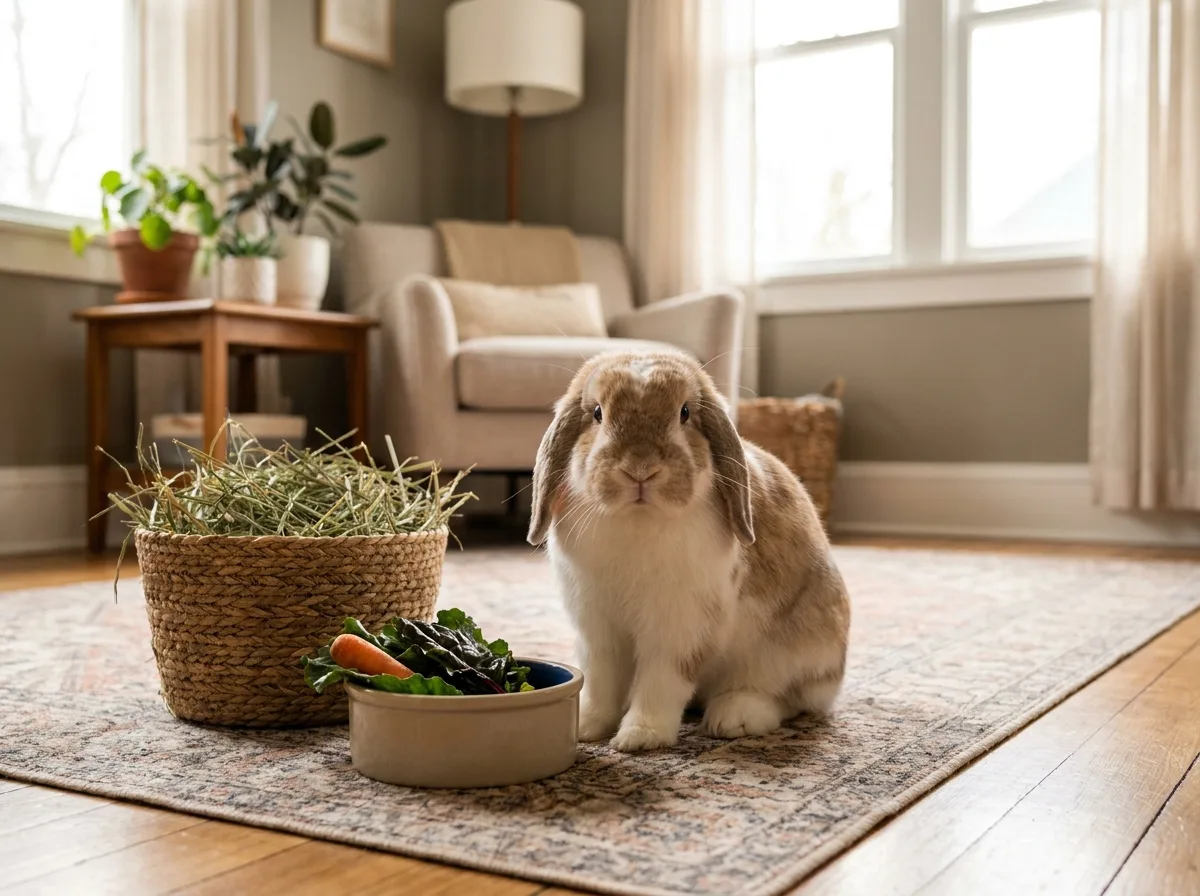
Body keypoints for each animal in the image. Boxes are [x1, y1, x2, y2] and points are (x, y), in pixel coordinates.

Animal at [528, 349, 850, 752]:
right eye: (597, 413)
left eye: (684, 412)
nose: (640, 469)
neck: (639, 519)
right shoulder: (598, 629)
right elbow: (602, 680)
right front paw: (587, 729)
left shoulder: (679, 629)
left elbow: (662, 681)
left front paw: (640, 737)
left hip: (792, 653)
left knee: (788, 698)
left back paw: (735, 717)